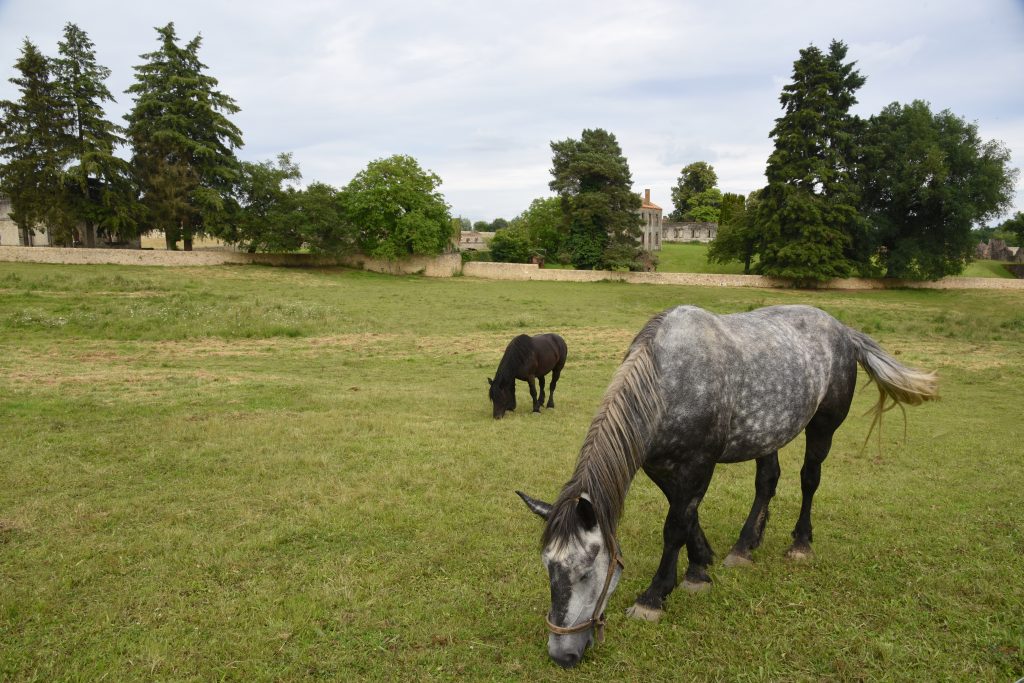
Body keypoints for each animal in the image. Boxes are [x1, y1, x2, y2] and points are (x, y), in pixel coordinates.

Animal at [516, 305, 937, 667]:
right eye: (548, 567)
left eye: (587, 572)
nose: (561, 654)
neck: (670, 380)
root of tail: (843, 330)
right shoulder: (660, 466)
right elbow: (686, 515)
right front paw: (700, 566)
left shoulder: (699, 464)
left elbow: (675, 526)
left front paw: (655, 596)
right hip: (768, 433)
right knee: (767, 481)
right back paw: (745, 546)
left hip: (823, 427)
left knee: (809, 480)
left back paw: (800, 544)